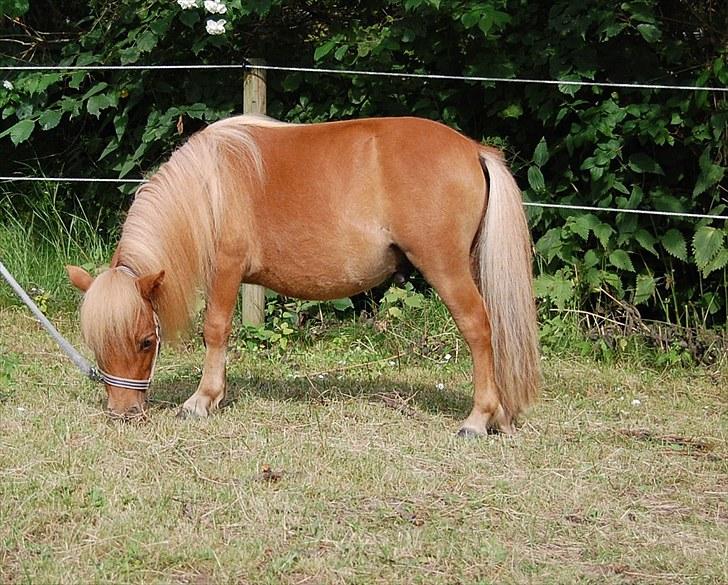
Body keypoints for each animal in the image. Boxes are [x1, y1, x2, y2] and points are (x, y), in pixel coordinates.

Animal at [65, 115, 536, 434]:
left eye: (146, 341)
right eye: (96, 342)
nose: (123, 411)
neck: (211, 187)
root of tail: (473, 149)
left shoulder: (226, 271)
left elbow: (215, 330)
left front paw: (202, 399)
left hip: (445, 268)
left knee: (479, 329)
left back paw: (477, 418)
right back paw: (500, 415)